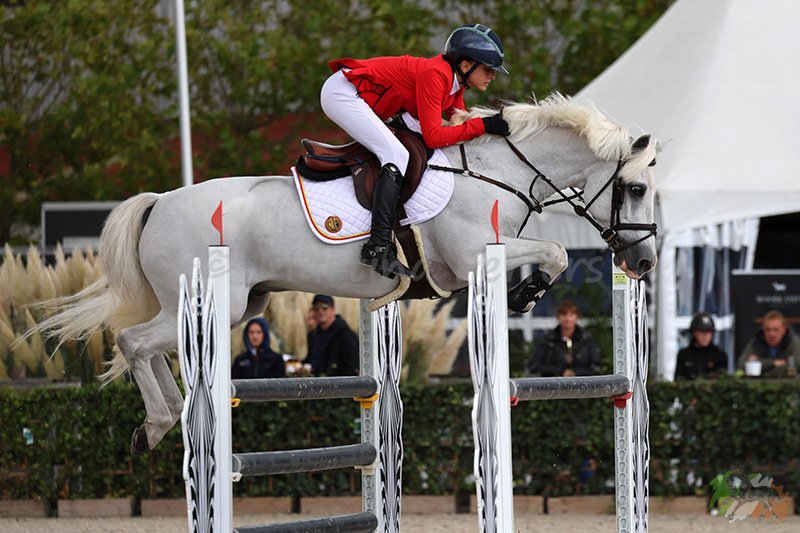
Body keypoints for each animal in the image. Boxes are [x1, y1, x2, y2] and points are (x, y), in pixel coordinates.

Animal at [34, 93, 660, 450]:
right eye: (634, 188)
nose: (643, 263)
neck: (497, 168)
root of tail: (159, 202)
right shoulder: (472, 257)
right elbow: (554, 250)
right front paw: (527, 291)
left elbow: (551, 251)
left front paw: (526, 291)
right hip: (214, 304)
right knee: (134, 341)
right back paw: (160, 423)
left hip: (228, 306)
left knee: (148, 346)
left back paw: (164, 423)